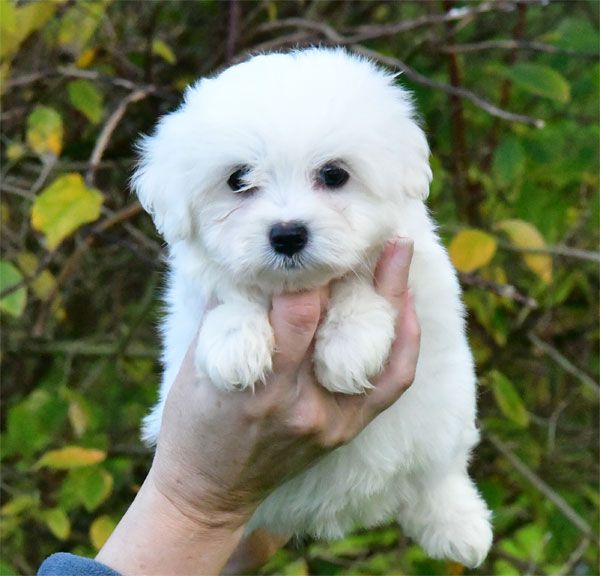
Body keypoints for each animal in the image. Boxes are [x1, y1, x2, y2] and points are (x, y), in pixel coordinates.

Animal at [135, 46, 492, 568]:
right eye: (238, 180)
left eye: (334, 174)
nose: (287, 234)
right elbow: (232, 295)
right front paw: (234, 344)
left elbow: (357, 284)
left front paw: (349, 344)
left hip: (447, 411)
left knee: (440, 474)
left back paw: (460, 527)